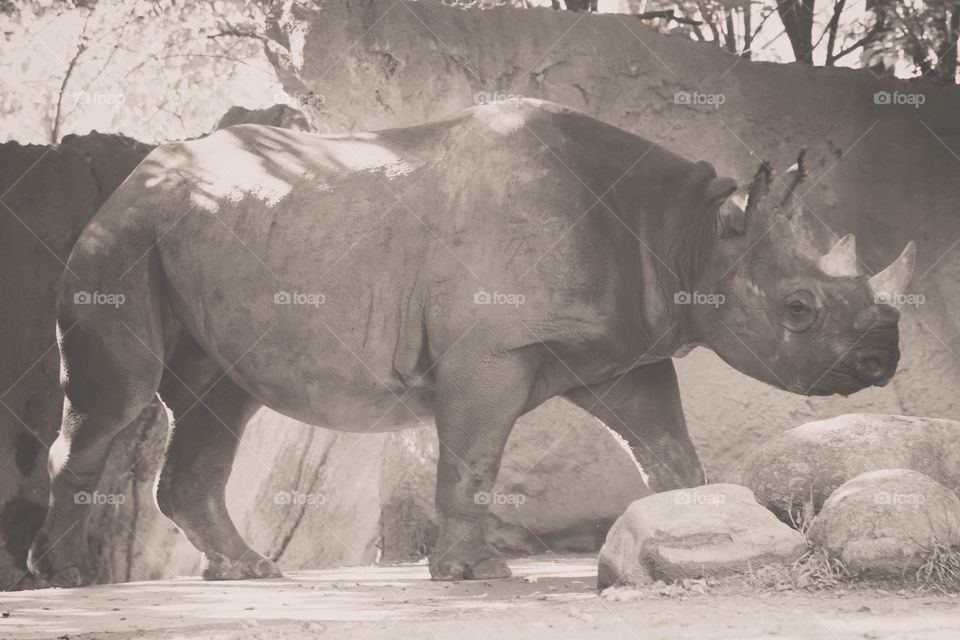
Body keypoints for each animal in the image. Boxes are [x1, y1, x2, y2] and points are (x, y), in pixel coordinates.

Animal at [28, 99, 915, 586]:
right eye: (798, 310)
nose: (884, 362)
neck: (685, 231)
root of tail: (130, 176)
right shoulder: (491, 348)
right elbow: (476, 454)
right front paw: (475, 573)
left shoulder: (622, 348)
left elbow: (667, 444)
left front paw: (686, 531)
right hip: (125, 235)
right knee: (122, 399)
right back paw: (66, 577)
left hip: (201, 233)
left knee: (220, 399)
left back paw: (246, 570)